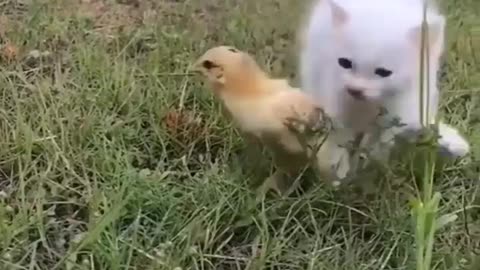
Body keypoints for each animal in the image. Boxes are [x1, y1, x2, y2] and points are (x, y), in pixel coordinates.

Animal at [300, 0, 468, 180]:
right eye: (344, 63)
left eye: (383, 72)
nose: (355, 90)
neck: (369, 105)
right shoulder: (333, 100)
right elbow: (338, 139)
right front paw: (338, 173)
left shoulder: (399, 110)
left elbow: (381, 143)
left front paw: (372, 165)